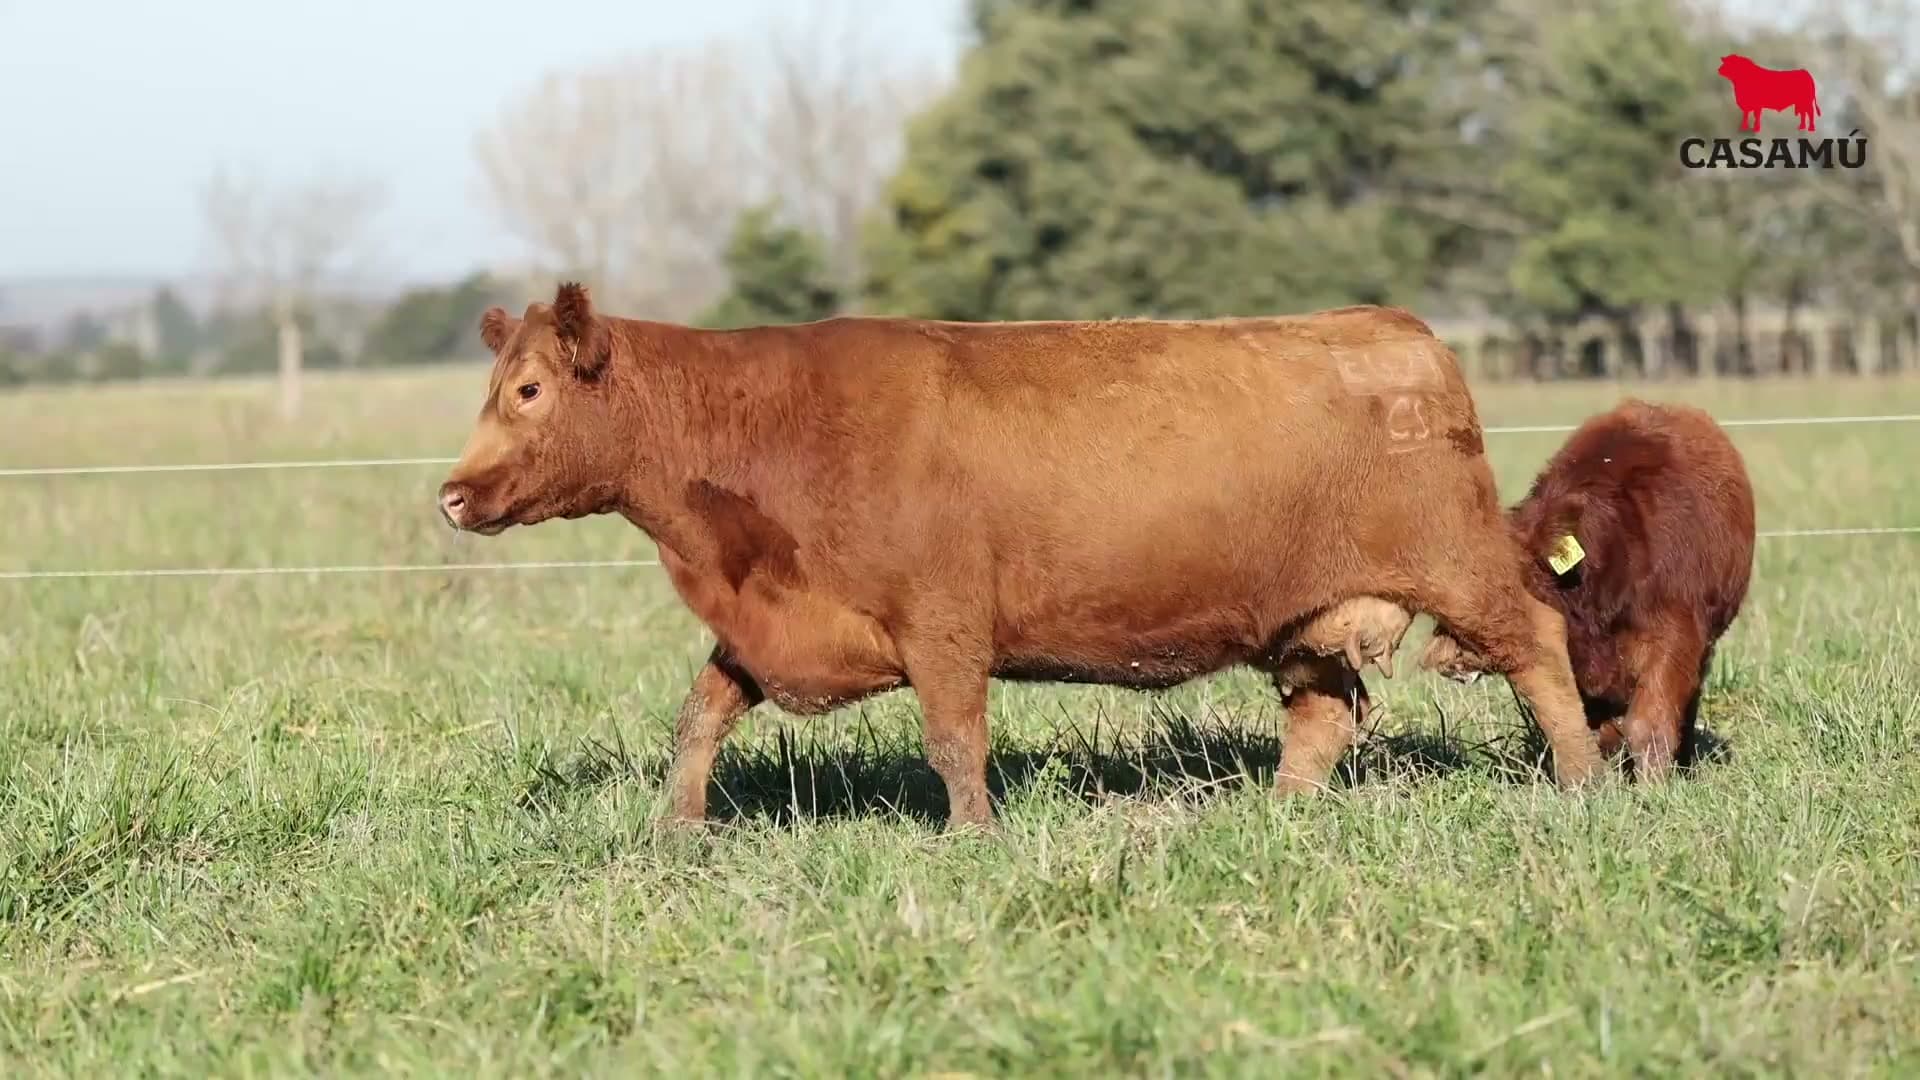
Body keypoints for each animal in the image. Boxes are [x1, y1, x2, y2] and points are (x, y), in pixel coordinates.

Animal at [437, 283, 1603, 828]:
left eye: (529, 389)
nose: (453, 494)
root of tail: (1396, 328)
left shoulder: (943, 624)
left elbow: (957, 740)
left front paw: (972, 836)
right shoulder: (774, 626)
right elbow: (701, 716)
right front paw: (678, 828)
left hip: (1460, 565)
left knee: (1541, 647)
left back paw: (1585, 782)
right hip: (1307, 621)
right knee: (1322, 712)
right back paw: (1282, 811)